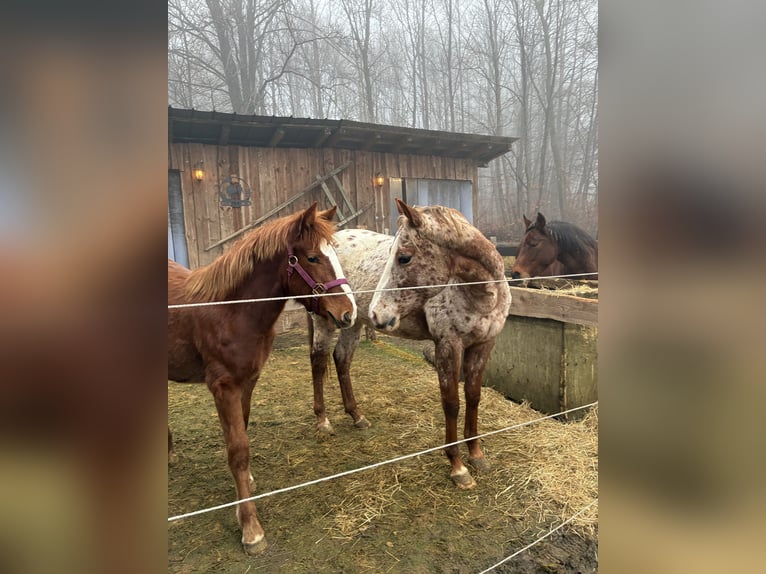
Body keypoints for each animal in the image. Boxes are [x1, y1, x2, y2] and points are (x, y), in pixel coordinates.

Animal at [168, 203, 357, 555]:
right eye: (312, 257)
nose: (348, 313)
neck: (230, 311)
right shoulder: (224, 387)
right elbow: (238, 450)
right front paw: (251, 529)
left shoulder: (248, 382)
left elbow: (240, 436)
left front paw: (245, 488)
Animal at [310, 199, 511, 490]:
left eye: (404, 257)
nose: (377, 313)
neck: (481, 294)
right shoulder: (448, 345)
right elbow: (451, 402)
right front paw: (458, 467)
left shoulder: (484, 344)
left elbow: (473, 397)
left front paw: (476, 455)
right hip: (324, 321)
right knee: (318, 361)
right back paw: (323, 421)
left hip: (352, 322)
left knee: (341, 359)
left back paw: (357, 416)